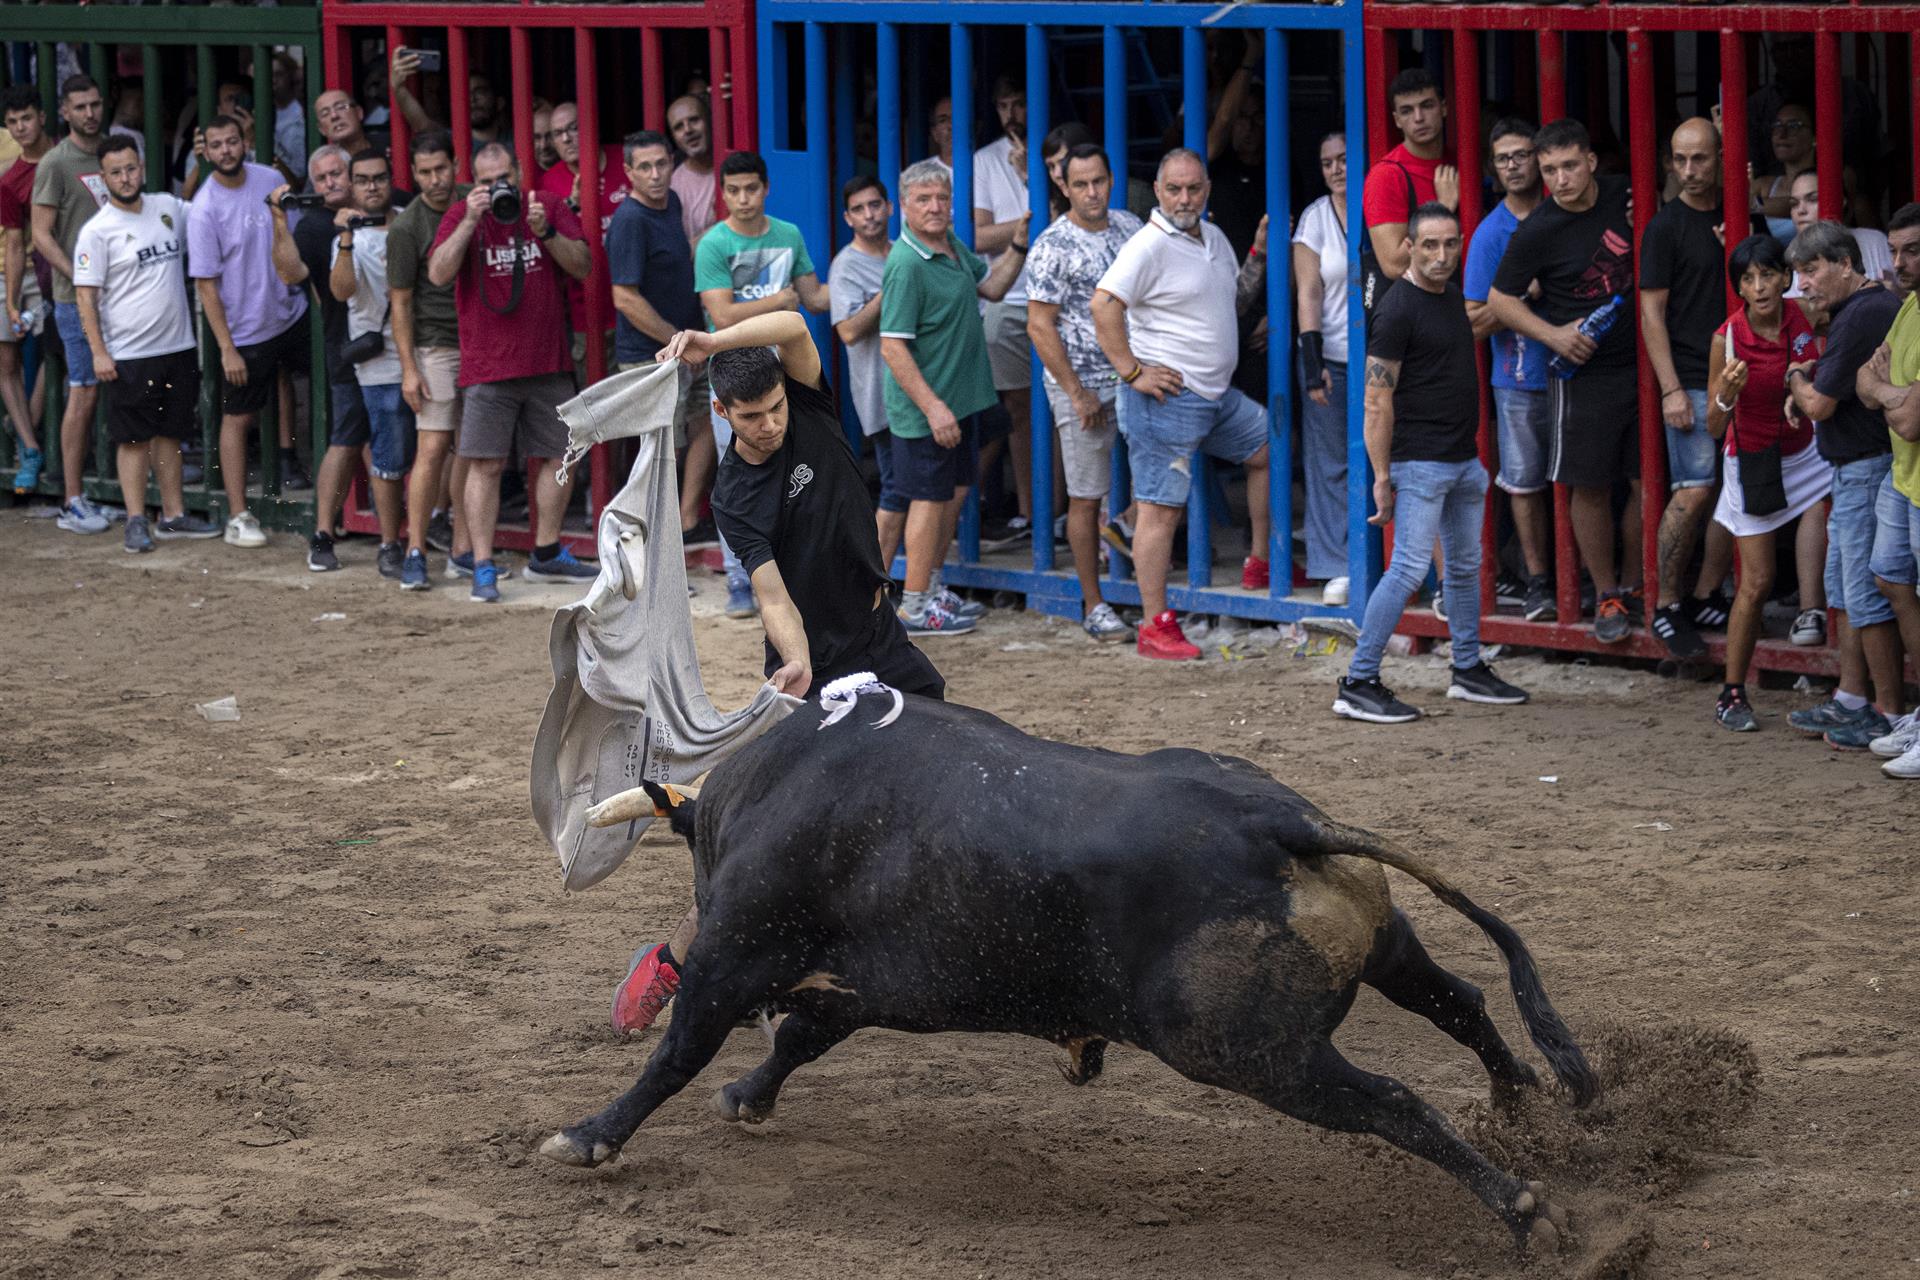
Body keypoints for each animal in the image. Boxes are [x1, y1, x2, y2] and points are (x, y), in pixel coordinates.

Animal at [537, 690, 1589, 1251]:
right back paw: (1525, 1109)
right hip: (1384, 948)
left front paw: (588, 1137)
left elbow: (679, 1054)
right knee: (1463, 1001)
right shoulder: (856, 987)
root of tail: (1280, 823)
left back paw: (1522, 1209)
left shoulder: (735, 957)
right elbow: (797, 1037)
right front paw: (748, 1096)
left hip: (1250, 1053)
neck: (768, 792)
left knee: (1394, 1102)